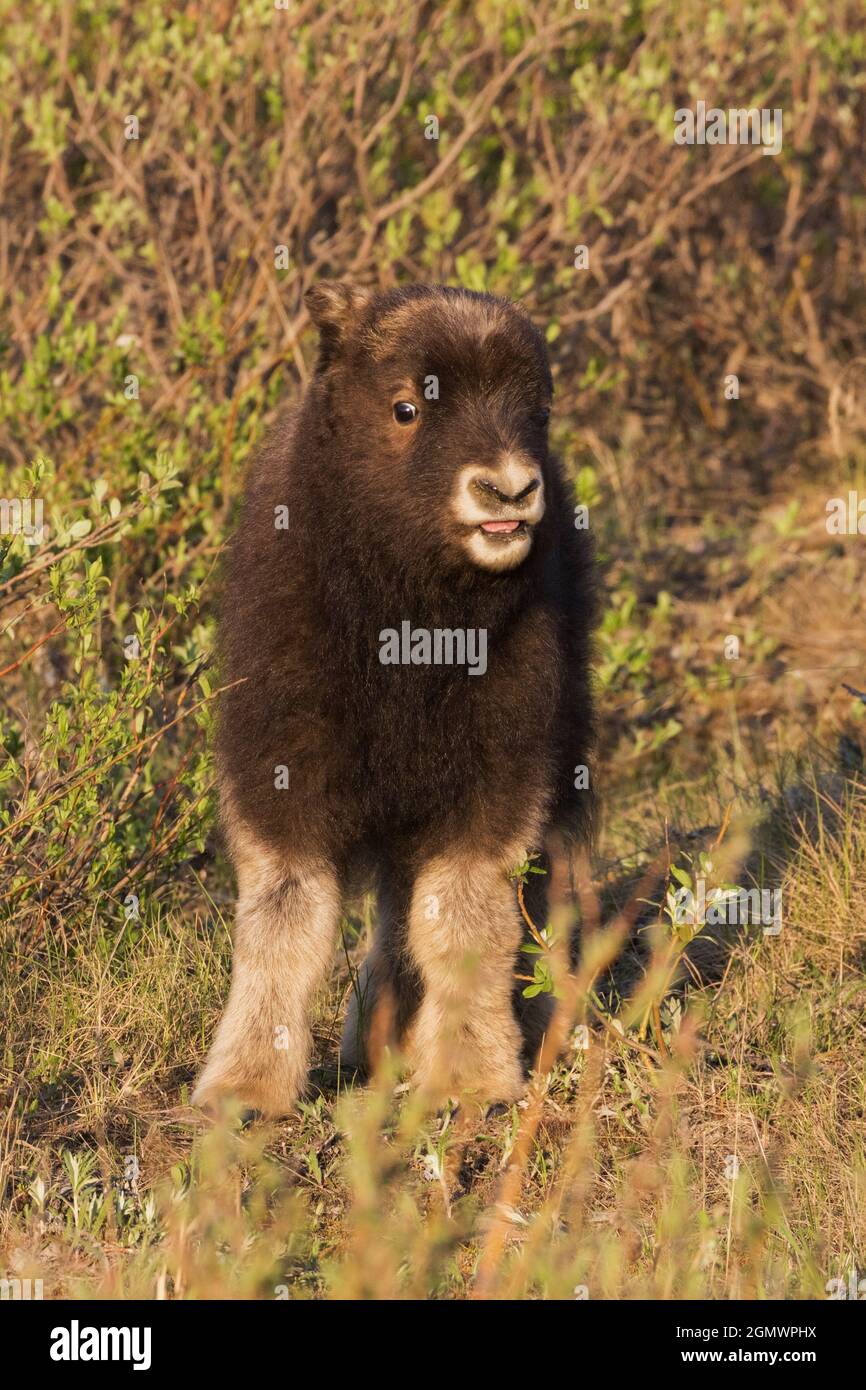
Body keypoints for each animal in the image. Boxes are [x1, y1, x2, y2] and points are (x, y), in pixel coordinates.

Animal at [193, 282, 594, 1117]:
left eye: (538, 409)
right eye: (406, 407)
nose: (508, 490)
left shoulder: (499, 777)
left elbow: (464, 918)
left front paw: (469, 1078)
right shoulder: (281, 767)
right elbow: (286, 918)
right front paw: (244, 1087)